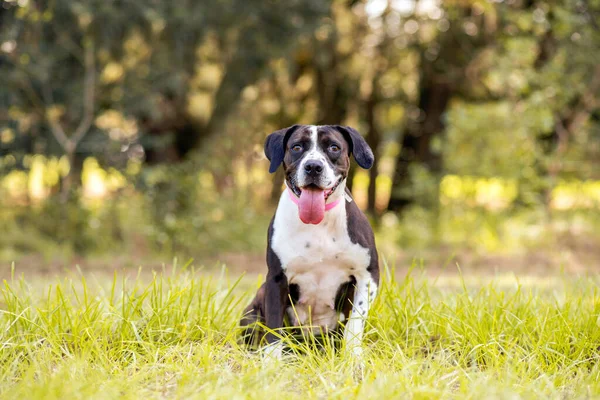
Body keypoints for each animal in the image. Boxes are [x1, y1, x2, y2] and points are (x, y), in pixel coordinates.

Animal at [240, 123, 378, 358]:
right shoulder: (276, 279)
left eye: (333, 147)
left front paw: (353, 357)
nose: (313, 166)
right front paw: (271, 361)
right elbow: (274, 327)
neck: (319, 225)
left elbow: (355, 323)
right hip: (254, 306)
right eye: (297, 147)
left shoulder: (367, 276)